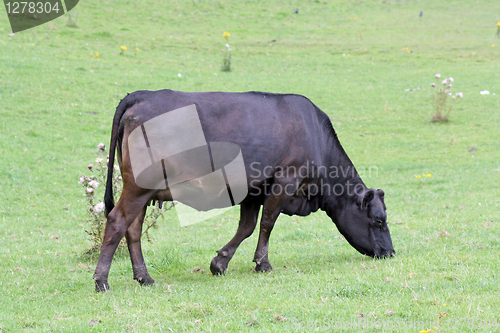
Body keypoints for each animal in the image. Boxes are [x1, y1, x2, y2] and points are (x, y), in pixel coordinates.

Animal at [92, 89, 392, 292]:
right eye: (379, 220)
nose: (390, 252)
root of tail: (142, 95)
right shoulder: (285, 180)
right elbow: (268, 223)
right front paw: (263, 264)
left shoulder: (253, 190)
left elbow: (247, 227)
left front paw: (220, 263)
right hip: (139, 186)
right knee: (118, 221)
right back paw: (102, 280)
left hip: (143, 190)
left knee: (133, 228)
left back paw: (144, 277)